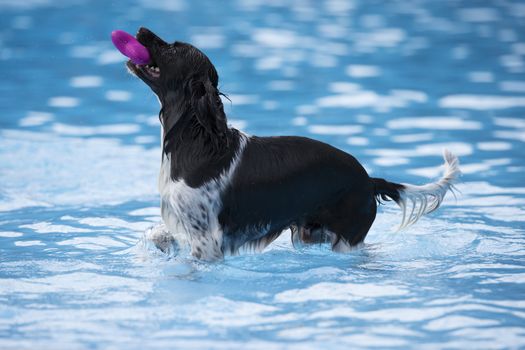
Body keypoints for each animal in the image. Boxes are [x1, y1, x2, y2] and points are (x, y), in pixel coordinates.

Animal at [124, 27, 458, 262]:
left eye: (172, 47)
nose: (140, 29)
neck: (198, 139)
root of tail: (369, 179)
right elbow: (159, 236)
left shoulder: (207, 243)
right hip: (309, 233)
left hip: (345, 240)